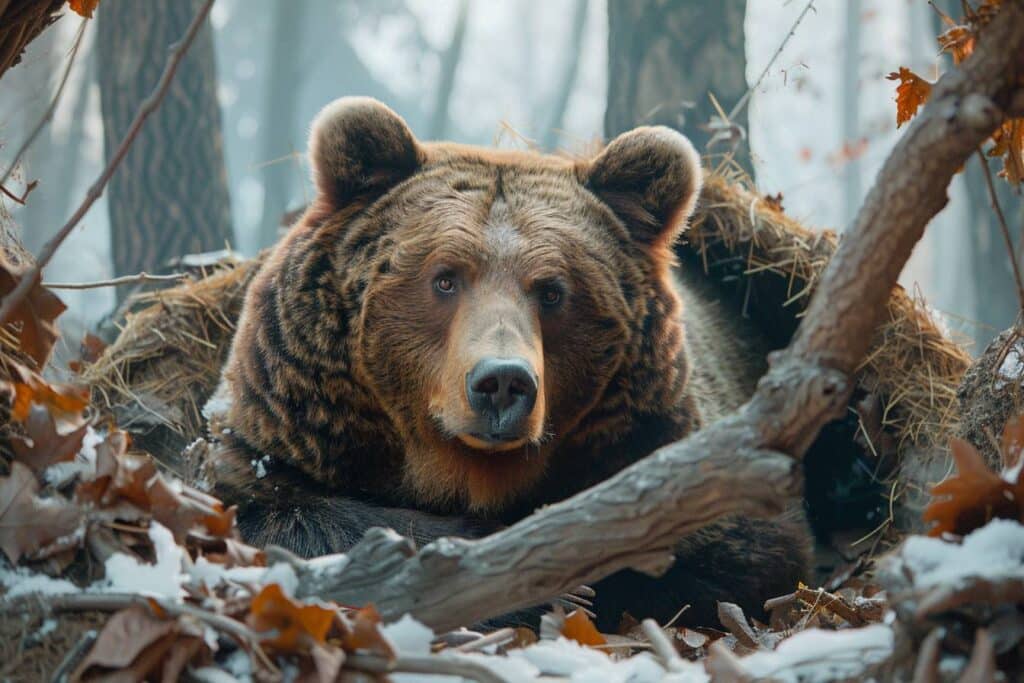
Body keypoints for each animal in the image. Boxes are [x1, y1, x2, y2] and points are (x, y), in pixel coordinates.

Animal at [207, 94, 811, 630]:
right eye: (444, 278)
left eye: (553, 291)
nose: (502, 382)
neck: (469, 472)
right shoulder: (296, 431)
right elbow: (278, 518)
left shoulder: (657, 443)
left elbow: (724, 553)